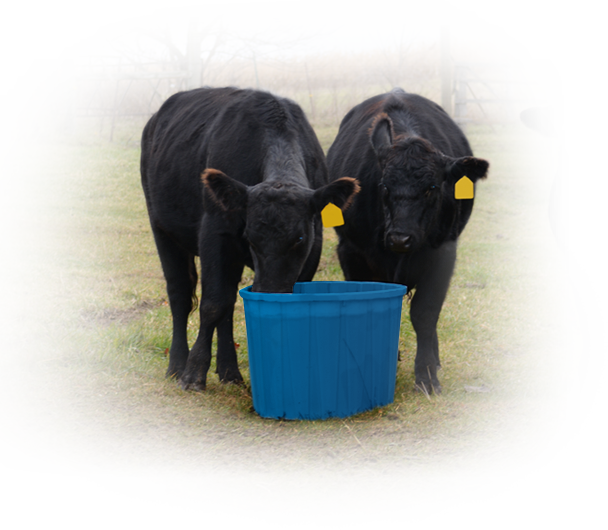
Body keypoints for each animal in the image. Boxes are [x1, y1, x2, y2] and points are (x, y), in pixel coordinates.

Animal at [141, 86, 360, 390]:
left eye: (299, 238)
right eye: (251, 237)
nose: (268, 291)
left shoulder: (313, 246)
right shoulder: (215, 232)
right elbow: (212, 303)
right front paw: (194, 373)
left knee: (229, 303)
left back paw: (229, 371)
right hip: (162, 229)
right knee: (181, 295)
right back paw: (177, 365)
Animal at [328, 87, 490, 392]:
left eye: (432, 188)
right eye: (383, 186)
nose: (400, 238)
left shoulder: (443, 254)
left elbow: (425, 313)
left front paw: (426, 374)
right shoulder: (351, 252)